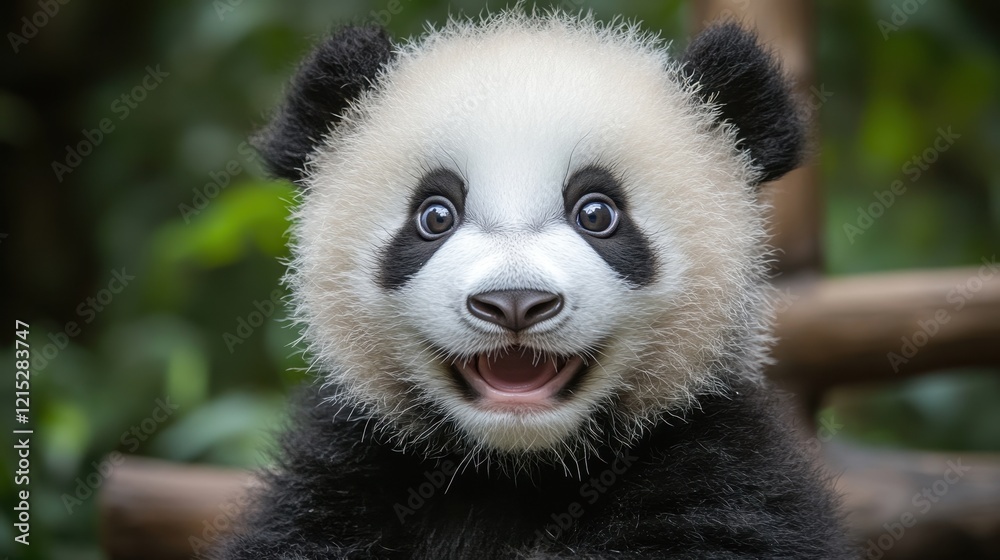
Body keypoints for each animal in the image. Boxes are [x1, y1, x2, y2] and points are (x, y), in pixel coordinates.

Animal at [218, 10, 851, 560]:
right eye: (435, 216)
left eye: (597, 213)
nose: (514, 302)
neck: (517, 470)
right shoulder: (345, 478)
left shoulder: (722, 476)